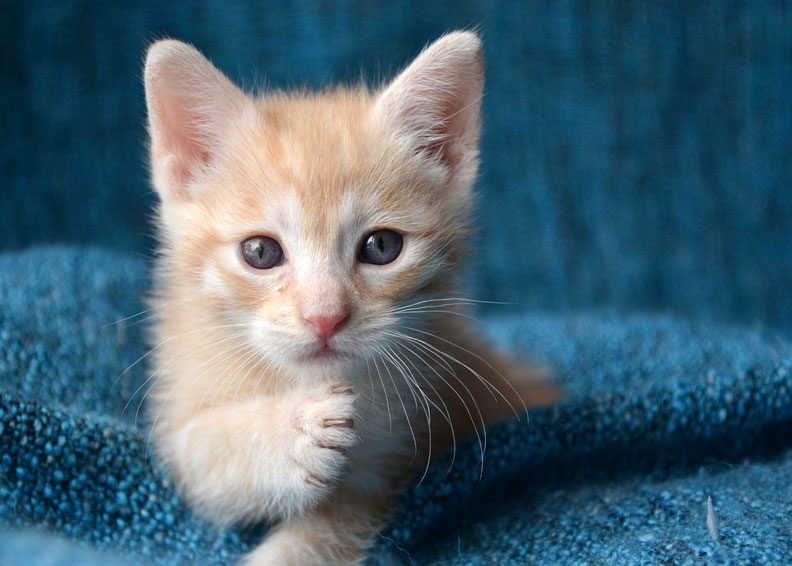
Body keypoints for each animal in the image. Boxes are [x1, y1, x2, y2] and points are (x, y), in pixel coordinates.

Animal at [145, 31, 560, 566]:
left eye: (381, 247)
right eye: (260, 252)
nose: (325, 318)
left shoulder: (390, 455)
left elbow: (325, 532)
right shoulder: (183, 400)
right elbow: (201, 452)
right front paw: (291, 433)